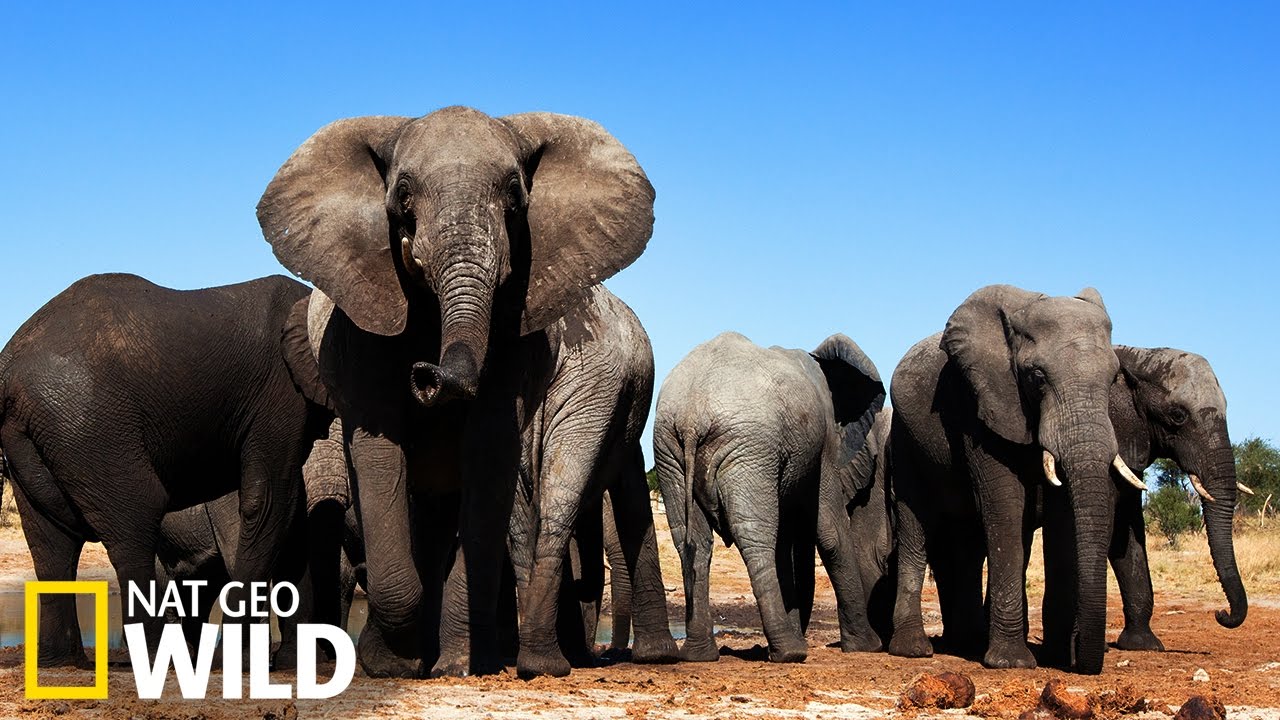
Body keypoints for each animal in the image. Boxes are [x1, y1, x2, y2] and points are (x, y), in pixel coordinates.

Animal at [0, 273, 331, 666]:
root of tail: (7, 368)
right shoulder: (280, 394)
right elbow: (268, 501)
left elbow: (291, 514)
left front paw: (294, 664)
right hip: (88, 422)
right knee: (134, 520)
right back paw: (161, 661)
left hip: (36, 431)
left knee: (50, 540)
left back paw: (62, 663)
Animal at [257, 106, 656, 678]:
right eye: (402, 194)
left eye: (514, 195)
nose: (427, 374)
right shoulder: (360, 323)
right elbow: (381, 449)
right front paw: (394, 666)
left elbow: (487, 451)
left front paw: (455, 666)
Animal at [653, 331, 886, 663]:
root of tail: (692, 414)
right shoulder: (824, 442)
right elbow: (830, 533)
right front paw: (868, 646)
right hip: (747, 449)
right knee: (755, 536)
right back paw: (789, 652)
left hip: (670, 451)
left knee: (692, 540)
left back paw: (700, 654)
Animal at [887, 284, 1134, 674]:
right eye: (1037, 377)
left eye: (1113, 380)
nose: (1083, 660)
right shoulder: (981, 405)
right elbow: (1005, 509)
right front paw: (1012, 663)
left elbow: (1061, 520)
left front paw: (1058, 657)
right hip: (905, 439)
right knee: (916, 524)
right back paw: (914, 649)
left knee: (969, 542)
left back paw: (968, 642)